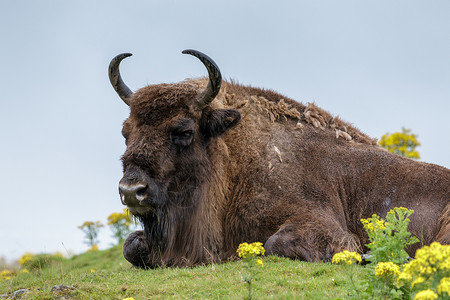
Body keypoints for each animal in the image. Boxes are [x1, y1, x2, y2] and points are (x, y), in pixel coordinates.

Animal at [108, 49, 450, 270]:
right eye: (126, 131)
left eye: (184, 130)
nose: (131, 191)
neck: (236, 161)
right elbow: (131, 245)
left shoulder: (321, 224)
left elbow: (275, 244)